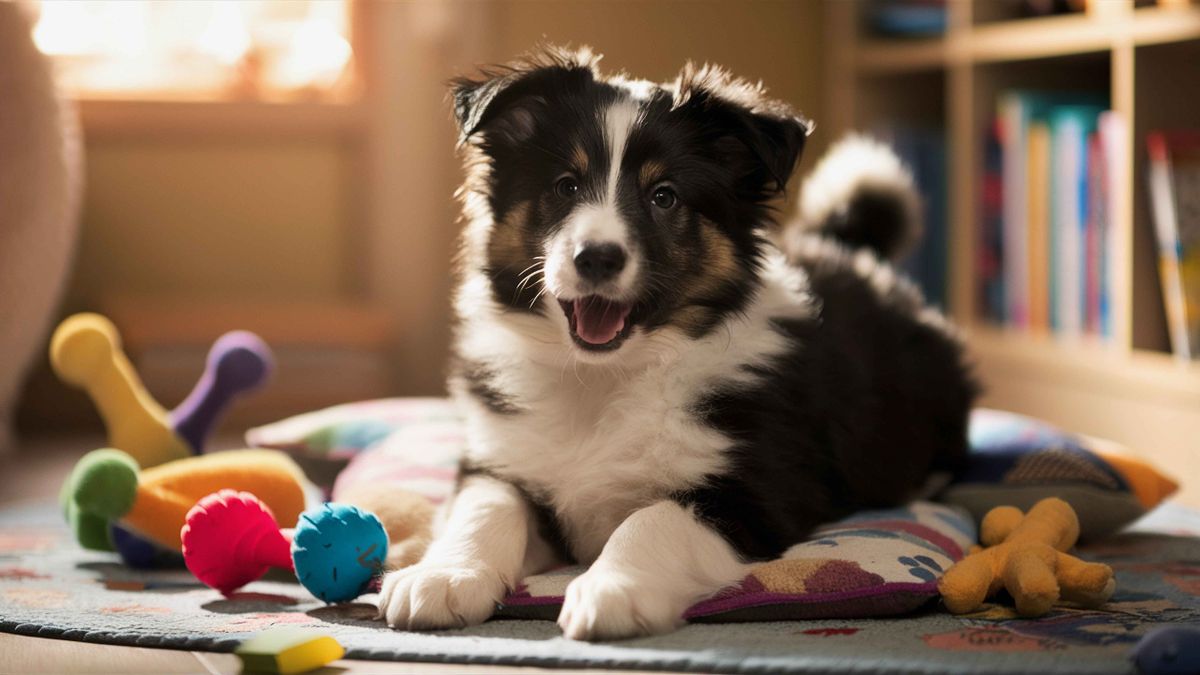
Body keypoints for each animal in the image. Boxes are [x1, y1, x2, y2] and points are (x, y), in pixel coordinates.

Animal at [379, 45, 979, 634]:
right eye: (565, 186)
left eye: (663, 196)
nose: (597, 257)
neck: (604, 377)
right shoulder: (502, 458)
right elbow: (485, 507)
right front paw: (442, 578)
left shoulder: (758, 489)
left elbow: (654, 518)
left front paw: (612, 591)